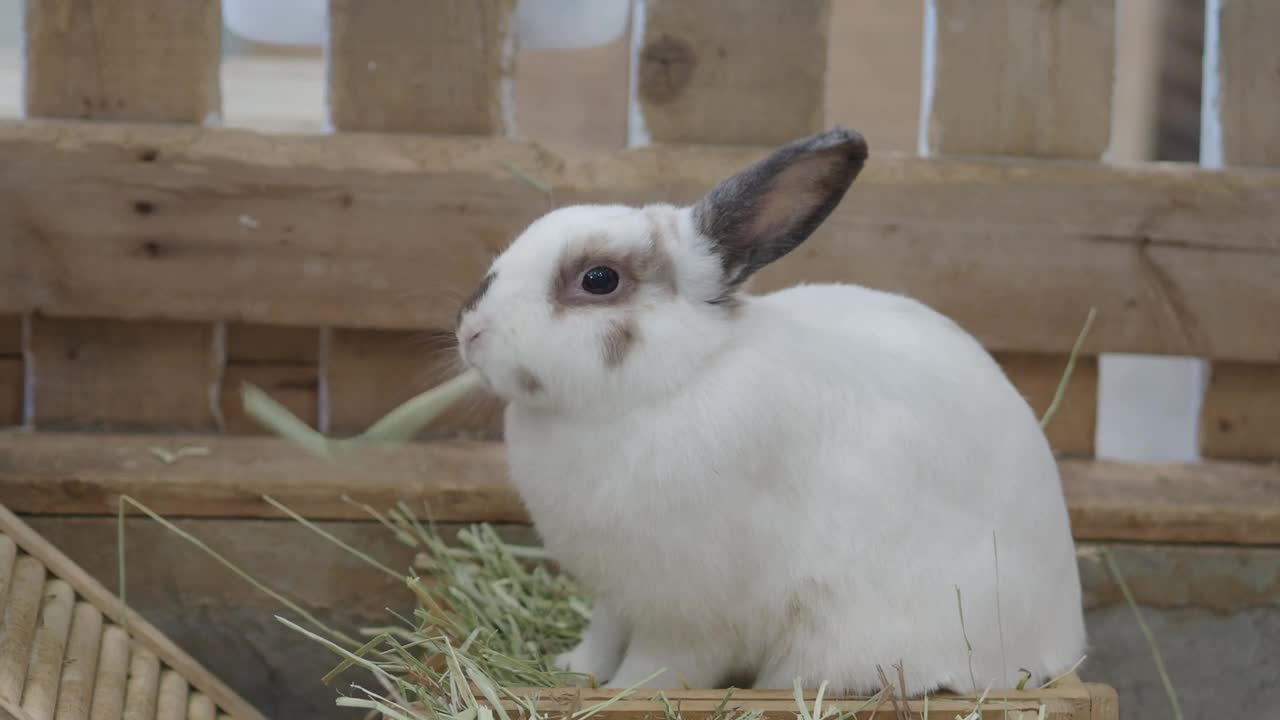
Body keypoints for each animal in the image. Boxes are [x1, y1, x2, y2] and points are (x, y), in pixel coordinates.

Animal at [455, 126, 1085, 691]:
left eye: (599, 279)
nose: (470, 331)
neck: (669, 383)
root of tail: (1060, 639)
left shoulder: (686, 611)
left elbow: (663, 665)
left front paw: (622, 694)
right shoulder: (617, 592)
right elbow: (603, 635)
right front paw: (572, 670)